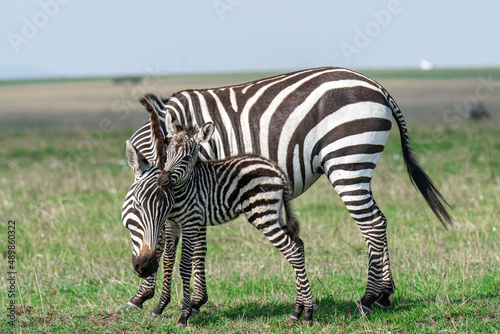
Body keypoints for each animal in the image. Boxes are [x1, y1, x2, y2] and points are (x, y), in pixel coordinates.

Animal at [126, 66, 454, 316]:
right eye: (135, 209)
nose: (143, 267)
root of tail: (377, 85)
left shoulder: (199, 187)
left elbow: (192, 247)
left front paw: (181, 301)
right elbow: (171, 246)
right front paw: (158, 298)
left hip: (347, 160)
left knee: (371, 224)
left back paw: (367, 298)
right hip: (359, 166)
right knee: (380, 221)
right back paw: (385, 294)